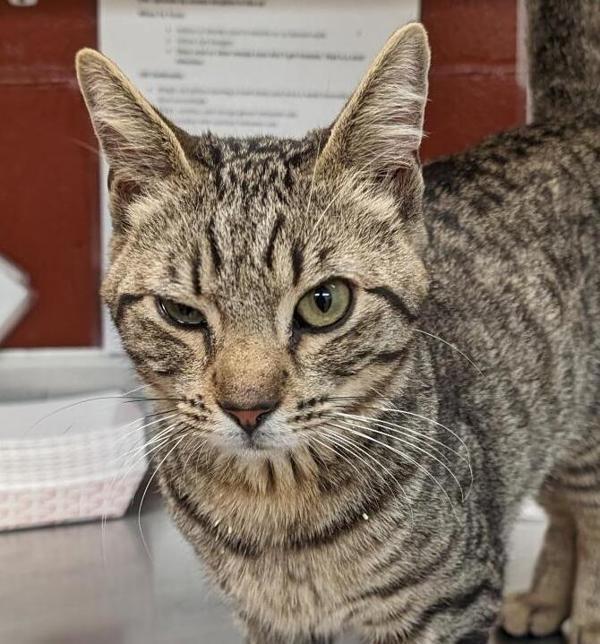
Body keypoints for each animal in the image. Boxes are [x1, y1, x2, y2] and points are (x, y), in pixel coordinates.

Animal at [76, 2, 600, 640]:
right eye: (181, 312)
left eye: (324, 303)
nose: (247, 408)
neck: (277, 512)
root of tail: (573, 120)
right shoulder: (269, 619)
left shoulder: (450, 602)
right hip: (538, 422)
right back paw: (547, 599)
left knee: (590, 511)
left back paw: (587, 616)